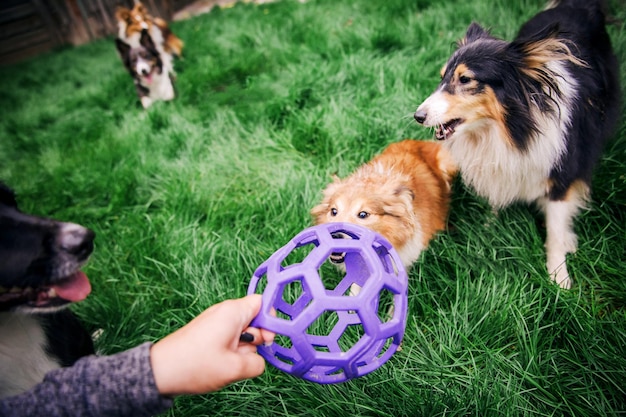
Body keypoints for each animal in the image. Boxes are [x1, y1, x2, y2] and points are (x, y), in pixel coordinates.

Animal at [412, 0, 616, 288]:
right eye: (442, 77)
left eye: (465, 80)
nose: (418, 116)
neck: (508, 130)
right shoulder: (499, 162)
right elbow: (496, 194)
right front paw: (488, 229)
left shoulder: (563, 173)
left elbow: (555, 229)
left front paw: (559, 277)